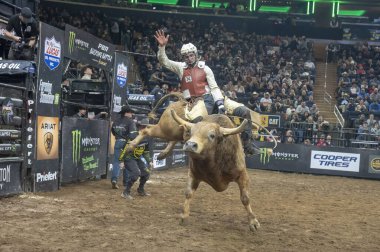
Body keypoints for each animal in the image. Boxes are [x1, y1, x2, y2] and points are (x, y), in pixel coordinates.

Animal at [128, 93, 274, 231]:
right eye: (192, 132)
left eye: (212, 135)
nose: (190, 144)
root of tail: (182, 101)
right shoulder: (193, 173)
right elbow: (188, 193)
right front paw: (184, 216)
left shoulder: (242, 174)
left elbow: (245, 198)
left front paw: (253, 223)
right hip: (168, 129)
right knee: (146, 129)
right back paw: (131, 145)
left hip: (172, 132)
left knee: (166, 136)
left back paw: (163, 153)